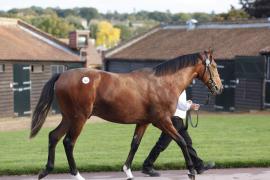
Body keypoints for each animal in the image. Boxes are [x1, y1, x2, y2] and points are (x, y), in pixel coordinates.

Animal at [30, 49, 223, 180]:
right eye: (214, 66)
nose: (219, 88)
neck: (163, 83)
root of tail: (62, 75)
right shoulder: (162, 121)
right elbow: (182, 141)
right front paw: (191, 170)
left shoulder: (143, 122)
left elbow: (135, 144)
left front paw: (128, 171)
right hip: (79, 118)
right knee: (68, 142)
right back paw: (76, 174)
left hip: (69, 117)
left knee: (53, 136)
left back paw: (46, 170)